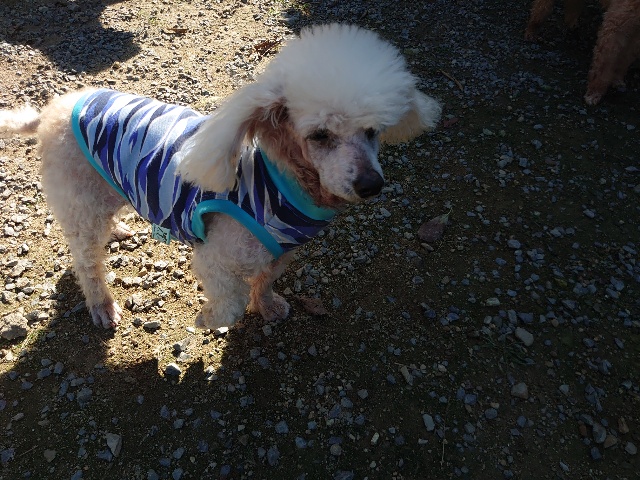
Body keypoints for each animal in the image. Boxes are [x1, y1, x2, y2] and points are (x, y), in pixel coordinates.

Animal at [0, 24, 442, 330]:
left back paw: (121, 230)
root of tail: (55, 107)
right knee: (87, 262)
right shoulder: (216, 257)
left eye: (373, 131)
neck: (283, 184)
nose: (371, 185)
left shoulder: (281, 251)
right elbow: (229, 303)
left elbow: (265, 280)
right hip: (79, 202)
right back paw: (102, 305)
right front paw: (208, 320)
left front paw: (268, 306)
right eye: (319, 135)